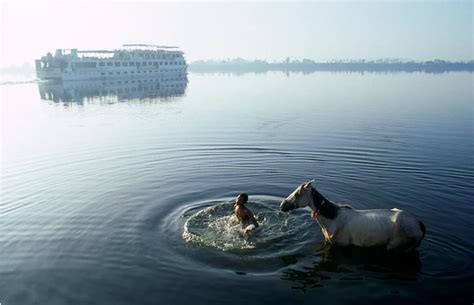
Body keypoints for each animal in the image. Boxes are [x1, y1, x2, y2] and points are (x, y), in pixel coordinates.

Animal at [282, 179, 426, 251]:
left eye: (298, 194)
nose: (283, 205)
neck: (333, 219)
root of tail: (418, 223)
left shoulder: (341, 246)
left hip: (394, 246)